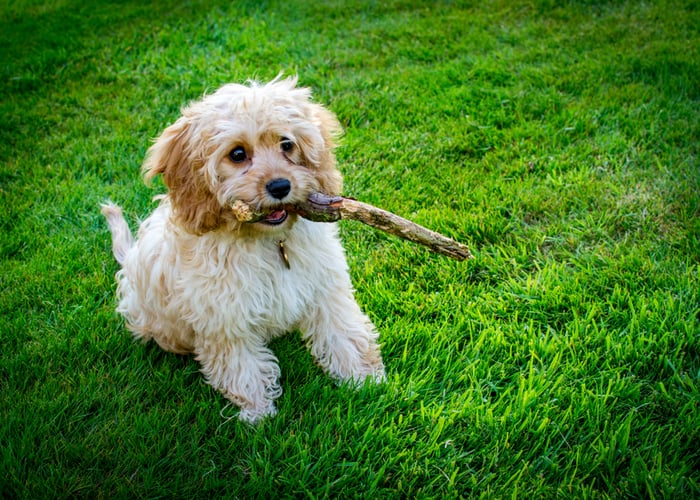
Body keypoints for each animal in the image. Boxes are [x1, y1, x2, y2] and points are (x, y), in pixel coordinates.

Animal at [103, 77, 386, 422]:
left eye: (287, 144)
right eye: (237, 154)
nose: (280, 186)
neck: (270, 241)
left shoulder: (324, 287)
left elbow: (344, 331)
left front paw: (365, 381)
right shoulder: (224, 318)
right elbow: (242, 367)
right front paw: (258, 414)